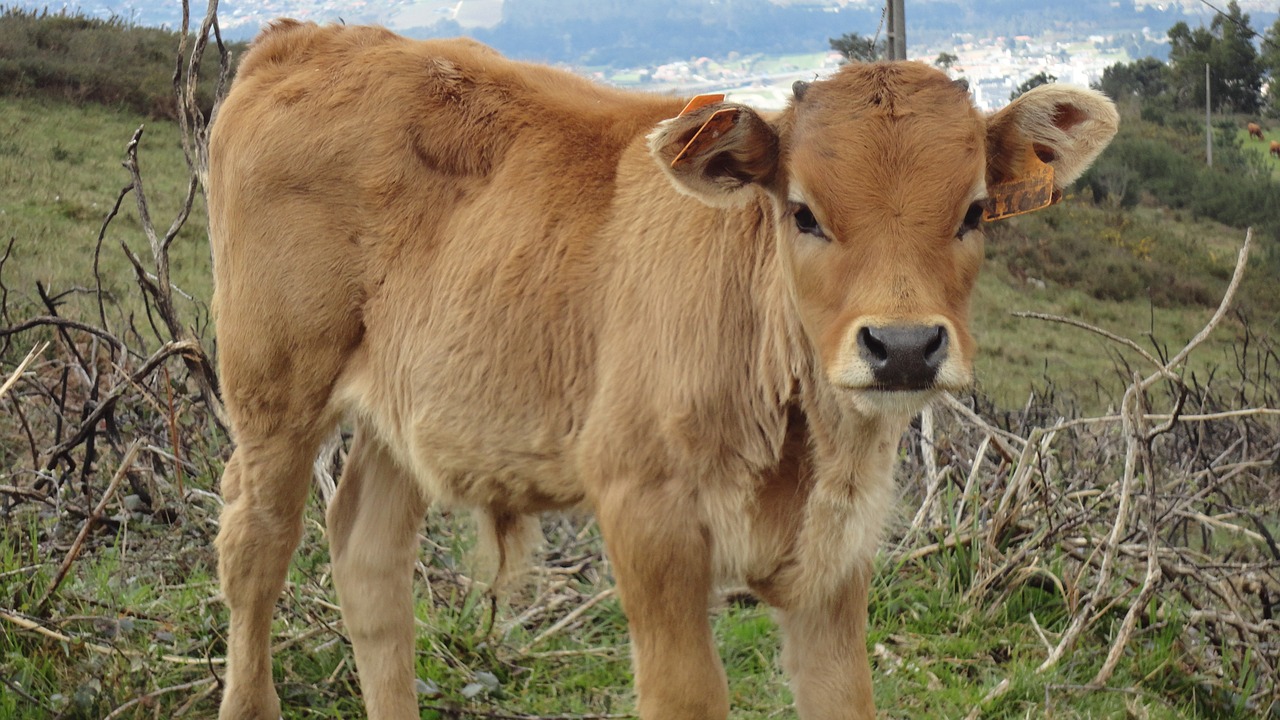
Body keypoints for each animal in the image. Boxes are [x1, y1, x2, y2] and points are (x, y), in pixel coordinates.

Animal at [204, 20, 1116, 717]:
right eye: (804, 213)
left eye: (973, 211)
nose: (901, 346)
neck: (801, 443)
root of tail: (309, 36)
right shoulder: (646, 513)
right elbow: (686, 696)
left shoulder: (837, 556)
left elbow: (844, 696)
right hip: (273, 383)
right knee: (255, 547)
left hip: (405, 413)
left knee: (367, 556)